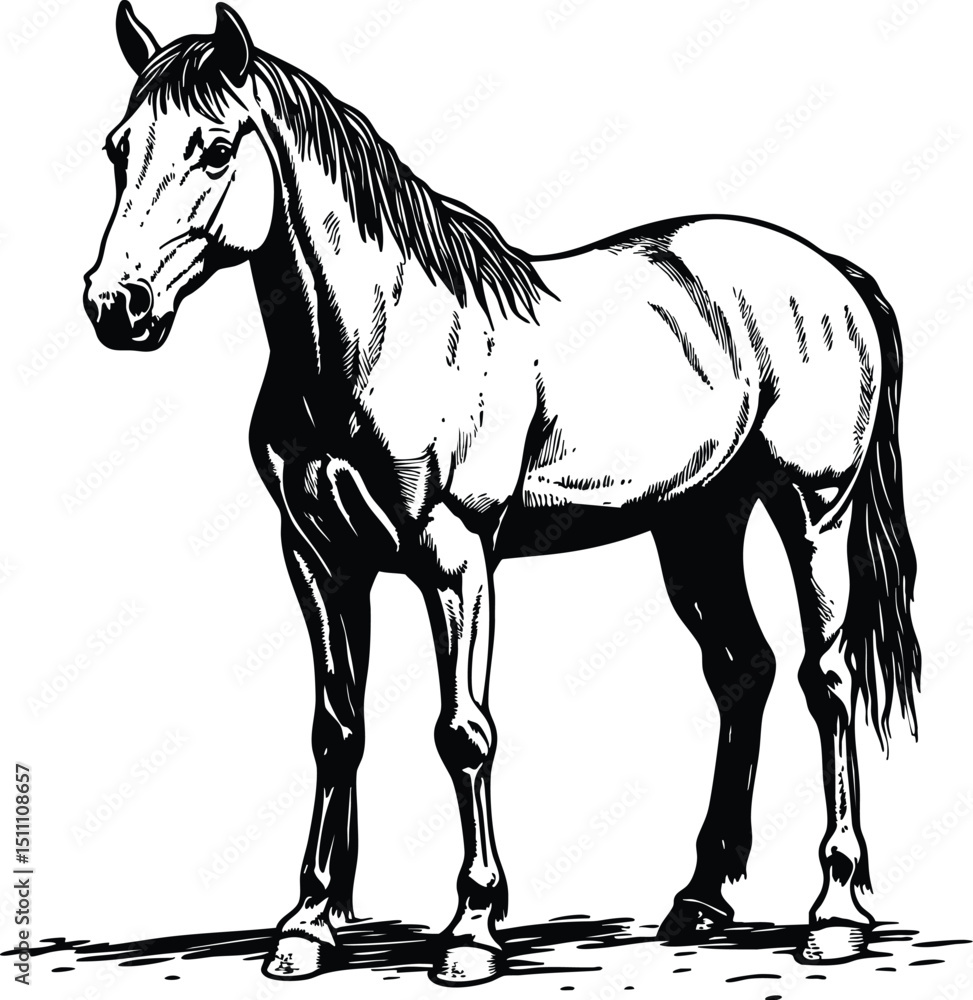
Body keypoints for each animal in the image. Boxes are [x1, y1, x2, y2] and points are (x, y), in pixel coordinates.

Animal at [84, 2, 920, 986]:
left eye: (215, 149)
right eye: (116, 148)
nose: (116, 306)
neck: (377, 343)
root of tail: (828, 272)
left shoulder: (456, 559)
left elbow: (463, 732)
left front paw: (472, 929)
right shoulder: (320, 560)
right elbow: (335, 729)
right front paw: (307, 926)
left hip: (811, 509)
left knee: (825, 681)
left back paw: (835, 912)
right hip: (696, 523)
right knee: (740, 671)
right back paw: (700, 899)